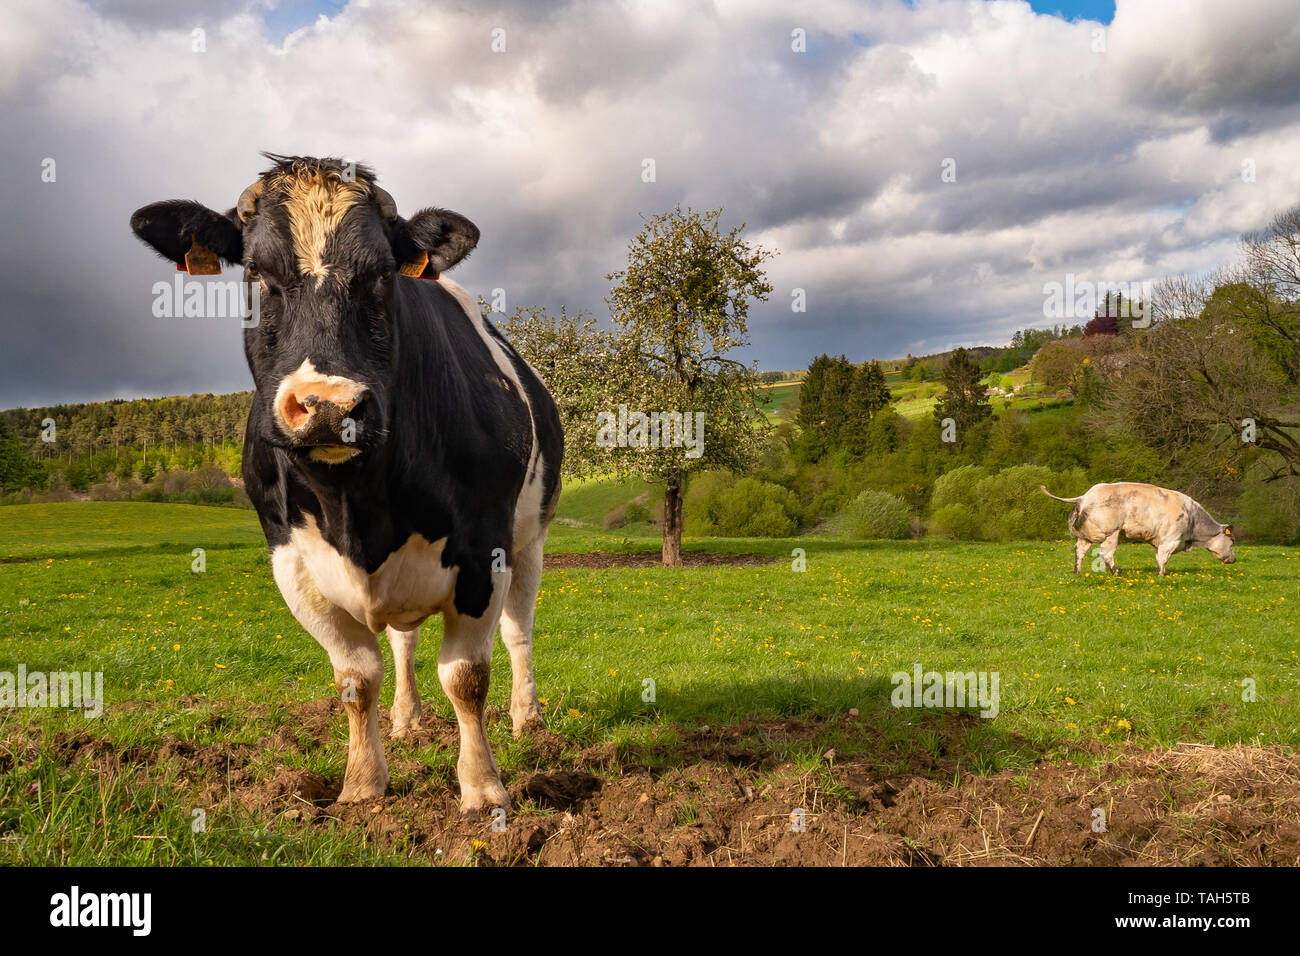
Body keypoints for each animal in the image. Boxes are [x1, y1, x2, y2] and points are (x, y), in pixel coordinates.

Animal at [129, 157, 561, 816]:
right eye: (255, 272)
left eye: (382, 274)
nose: (329, 407)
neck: (356, 507)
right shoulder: (292, 561)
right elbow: (357, 677)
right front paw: (361, 784)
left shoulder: (483, 551)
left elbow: (466, 677)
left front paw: (483, 788)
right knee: (405, 643)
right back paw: (407, 721)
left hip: (530, 537)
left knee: (518, 632)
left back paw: (527, 718)